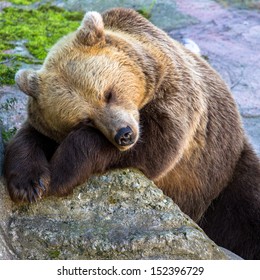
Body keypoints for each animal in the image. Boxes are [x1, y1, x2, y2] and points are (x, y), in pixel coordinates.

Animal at [4, 8, 260, 258]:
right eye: (85, 120)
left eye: (107, 93)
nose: (124, 134)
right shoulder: (46, 121)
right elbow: (29, 137)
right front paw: (29, 184)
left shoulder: (175, 100)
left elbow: (155, 148)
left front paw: (59, 172)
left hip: (222, 170)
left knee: (246, 208)